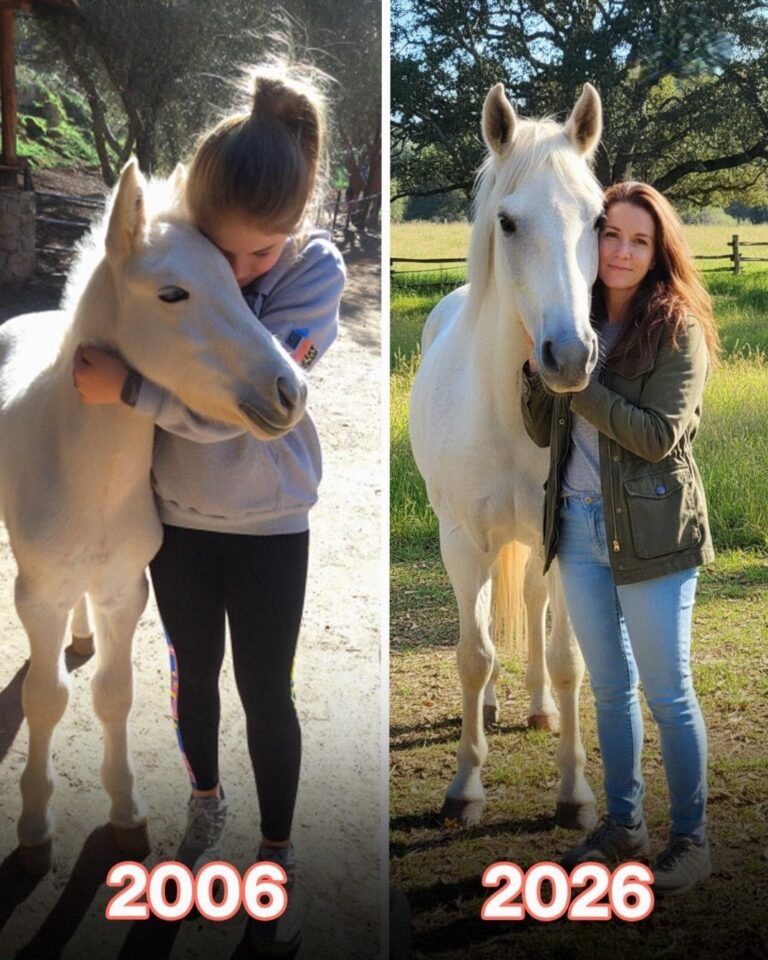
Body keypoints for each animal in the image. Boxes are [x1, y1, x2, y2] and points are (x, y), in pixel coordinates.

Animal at [0, 159, 306, 874]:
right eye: (172, 294)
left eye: (235, 280)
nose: (292, 390)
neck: (88, 479)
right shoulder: (38, 594)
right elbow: (45, 699)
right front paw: (34, 828)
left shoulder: (125, 590)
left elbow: (114, 692)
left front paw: (126, 815)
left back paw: (82, 637)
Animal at [409, 83, 604, 829]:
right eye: (509, 222)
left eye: (599, 219)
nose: (569, 355)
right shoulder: (462, 539)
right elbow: (473, 655)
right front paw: (465, 786)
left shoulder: (566, 539)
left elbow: (568, 657)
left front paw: (575, 793)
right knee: (490, 613)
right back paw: (492, 710)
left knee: (531, 604)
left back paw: (539, 709)